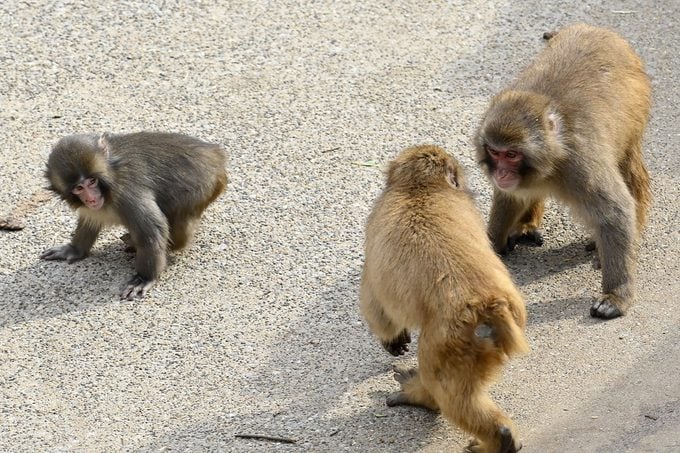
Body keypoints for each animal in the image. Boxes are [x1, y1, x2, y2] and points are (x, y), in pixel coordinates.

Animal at [41, 132, 228, 300]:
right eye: (79, 188)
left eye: (92, 181)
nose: (92, 198)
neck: (111, 175)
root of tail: (216, 154)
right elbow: (90, 220)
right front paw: (74, 249)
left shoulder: (126, 192)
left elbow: (152, 230)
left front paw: (145, 278)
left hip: (202, 187)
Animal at [360, 145, 528, 453]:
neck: (420, 187)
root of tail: (488, 306)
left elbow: (375, 304)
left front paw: (392, 340)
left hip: (448, 340)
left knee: (446, 391)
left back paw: (426, 399)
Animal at [475, 24, 651, 319]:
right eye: (495, 152)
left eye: (511, 155)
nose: (501, 174)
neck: (553, 158)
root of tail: (596, 29)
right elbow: (510, 197)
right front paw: (491, 248)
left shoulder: (582, 164)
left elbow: (615, 211)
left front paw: (616, 296)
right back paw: (525, 226)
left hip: (636, 108)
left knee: (626, 167)